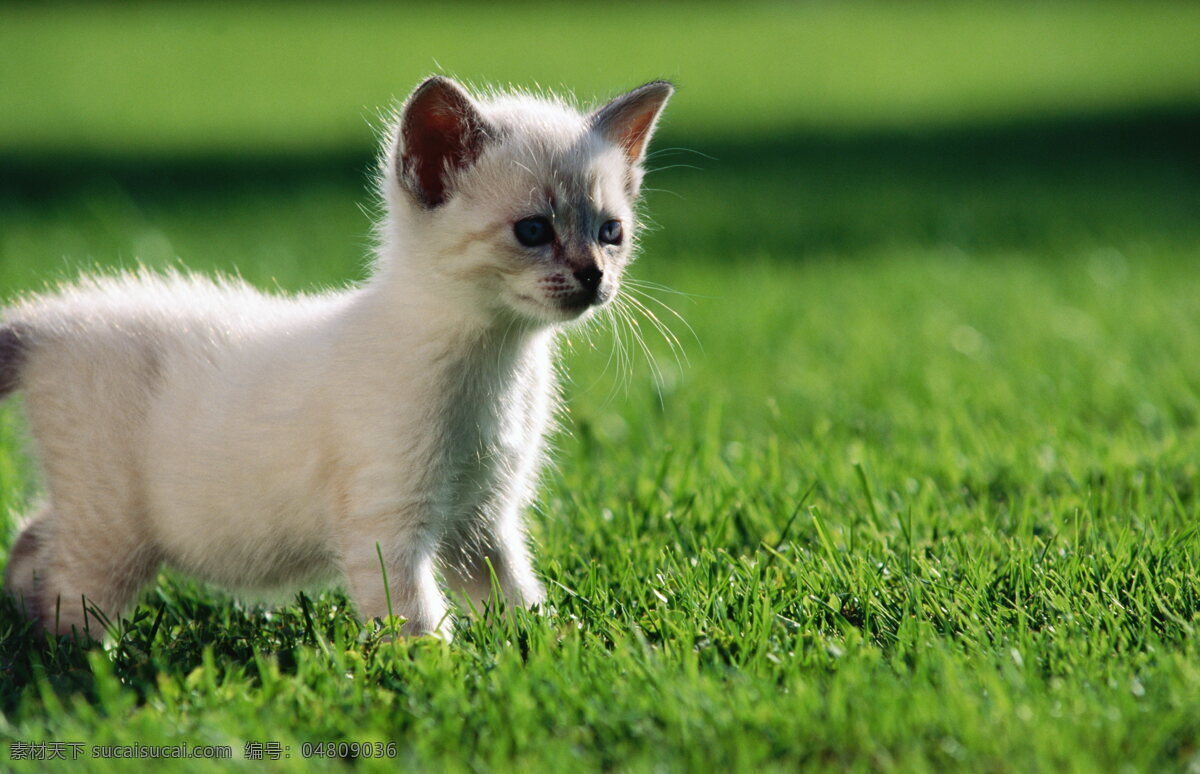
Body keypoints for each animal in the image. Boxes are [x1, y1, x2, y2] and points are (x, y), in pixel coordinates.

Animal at [0, 75, 676, 638]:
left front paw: (552, 649)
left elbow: (516, 598)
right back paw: (76, 662)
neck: (499, 363)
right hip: (112, 530)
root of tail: (51, 319)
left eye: (611, 232)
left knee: (31, 539)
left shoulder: (481, 520)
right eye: (533, 231)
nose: (594, 277)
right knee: (67, 599)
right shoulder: (388, 524)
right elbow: (416, 622)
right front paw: (435, 674)